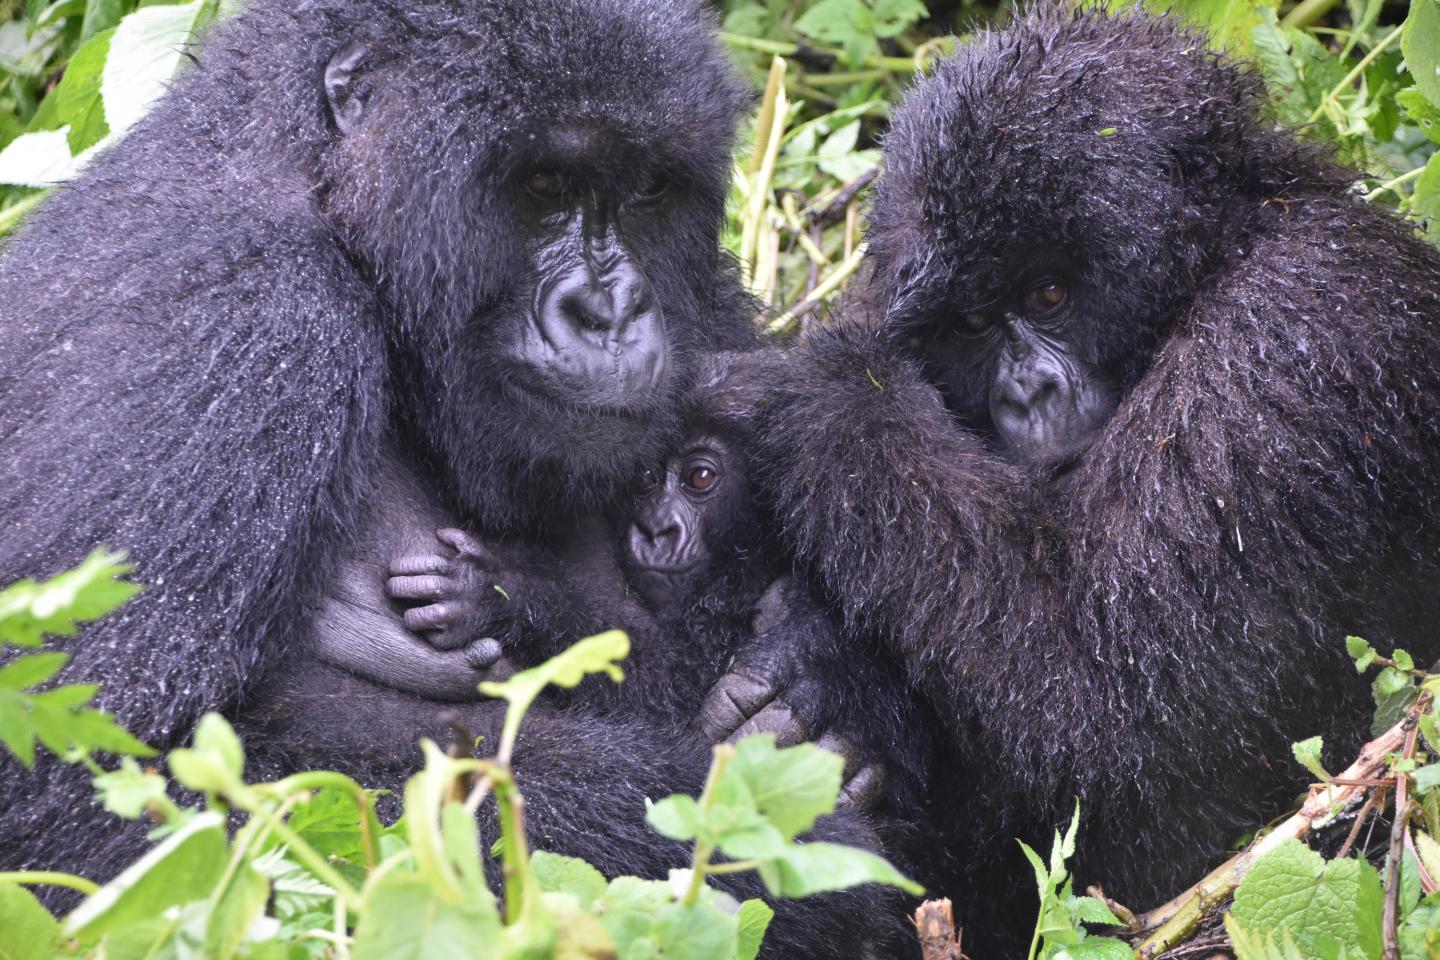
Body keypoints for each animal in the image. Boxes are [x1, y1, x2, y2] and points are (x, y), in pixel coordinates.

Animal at [0, 1, 910, 955]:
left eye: (648, 192)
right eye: (545, 184)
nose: (611, 311)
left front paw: (819, 671)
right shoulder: (236, 309)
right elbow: (94, 805)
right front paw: (779, 847)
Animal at [731, 7, 1440, 949]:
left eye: (1051, 294)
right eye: (971, 324)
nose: (1025, 392)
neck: (1228, 242)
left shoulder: (1292, 336)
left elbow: (1108, 700)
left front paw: (831, 384)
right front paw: (822, 680)